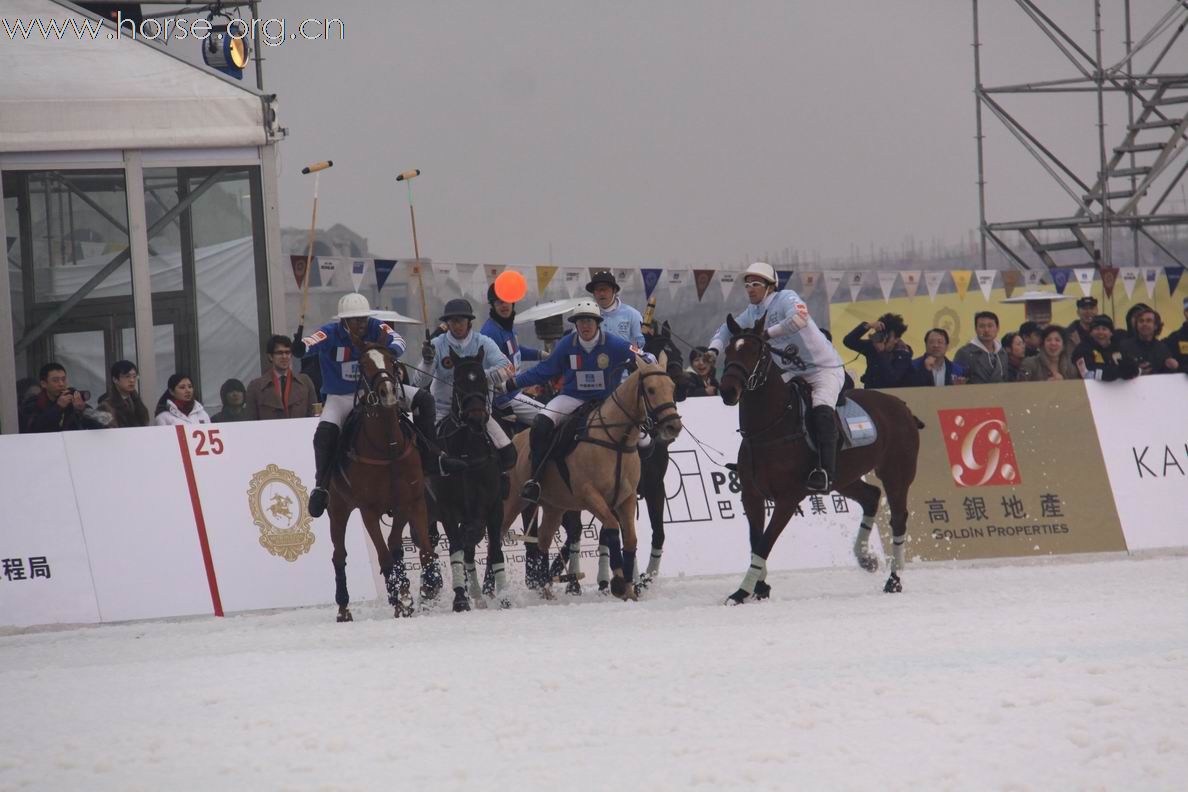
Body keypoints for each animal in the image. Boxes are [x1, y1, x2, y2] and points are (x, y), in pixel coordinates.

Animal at [327, 344, 439, 622]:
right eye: (363, 365)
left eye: (392, 360)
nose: (388, 392)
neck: (388, 447)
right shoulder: (368, 510)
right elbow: (384, 556)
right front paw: (398, 602)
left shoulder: (411, 501)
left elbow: (422, 551)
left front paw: (426, 589)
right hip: (338, 507)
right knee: (339, 555)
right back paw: (344, 608)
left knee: (395, 546)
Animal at [501, 356, 684, 598]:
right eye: (651, 390)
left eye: (672, 387)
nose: (673, 426)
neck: (616, 440)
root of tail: (514, 440)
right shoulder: (589, 495)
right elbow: (611, 528)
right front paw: (617, 582)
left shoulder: (631, 496)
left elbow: (631, 538)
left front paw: (629, 585)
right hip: (514, 501)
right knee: (497, 537)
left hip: (554, 506)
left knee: (542, 538)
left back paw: (544, 587)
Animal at [712, 313, 926, 603]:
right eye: (729, 350)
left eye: (757, 351)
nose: (728, 391)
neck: (768, 429)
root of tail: (903, 407)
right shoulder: (751, 495)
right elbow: (756, 541)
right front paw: (760, 586)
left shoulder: (788, 499)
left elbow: (765, 542)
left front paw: (742, 591)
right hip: (843, 478)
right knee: (871, 496)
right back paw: (865, 558)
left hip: (896, 473)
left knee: (899, 519)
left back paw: (894, 579)